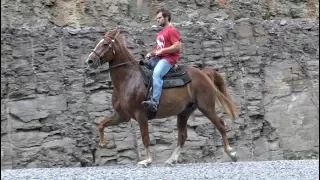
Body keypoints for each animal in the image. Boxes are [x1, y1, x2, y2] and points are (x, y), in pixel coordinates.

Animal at [86, 29, 239, 167]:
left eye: (105, 44)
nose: (90, 60)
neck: (128, 78)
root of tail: (203, 73)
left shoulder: (140, 114)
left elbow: (145, 137)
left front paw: (147, 161)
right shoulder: (122, 115)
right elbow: (102, 124)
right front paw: (107, 144)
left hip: (206, 107)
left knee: (221, 125)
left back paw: (231, 153)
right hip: (184, 112)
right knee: (182, 136)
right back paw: (171, 160)